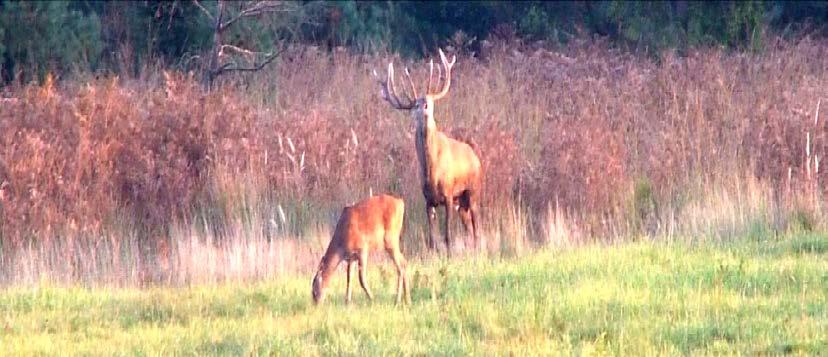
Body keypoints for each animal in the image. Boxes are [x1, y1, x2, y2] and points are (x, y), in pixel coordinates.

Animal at [374, 48, 482, 254]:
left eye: (430, 102)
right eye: (415, 105)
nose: (424, 106)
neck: (432, 171)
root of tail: (475, 157)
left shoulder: (448, 194)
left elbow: (447, 235)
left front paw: (449, 254)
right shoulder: (427, 199)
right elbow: (432, 238)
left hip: (472, 191)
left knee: (477, 226)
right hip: (461, 202)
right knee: (469, 228)